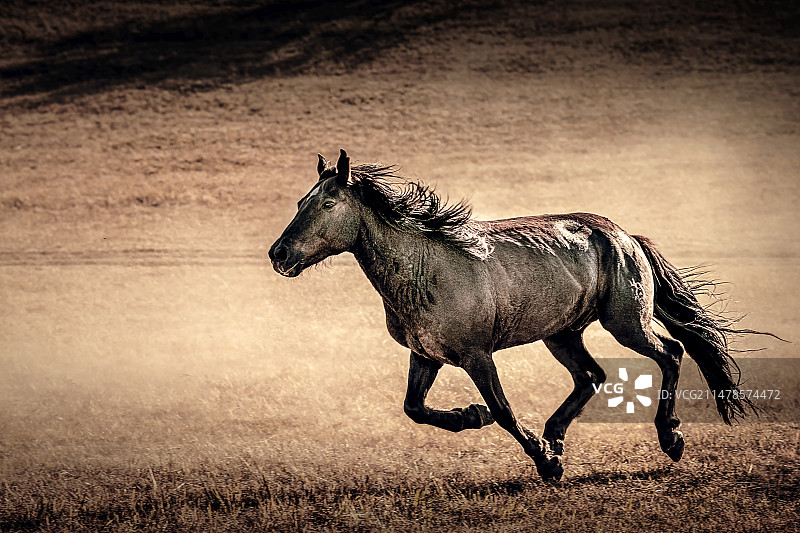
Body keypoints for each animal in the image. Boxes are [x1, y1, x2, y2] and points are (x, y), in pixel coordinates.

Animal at [268, 149, 765, 481]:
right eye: (300, 203)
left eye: (327, 204)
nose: (279, 254)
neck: (425, 269)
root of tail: (625, 236)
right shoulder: (425, 355)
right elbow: (414, 408)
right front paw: (471, 417)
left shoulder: (476, 355)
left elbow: (503, 411)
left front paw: (545, 462)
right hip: (562, 333)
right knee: (593, 374)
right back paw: (556, 434)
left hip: (625, 323)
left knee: (672, 352)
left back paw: (670, 439)